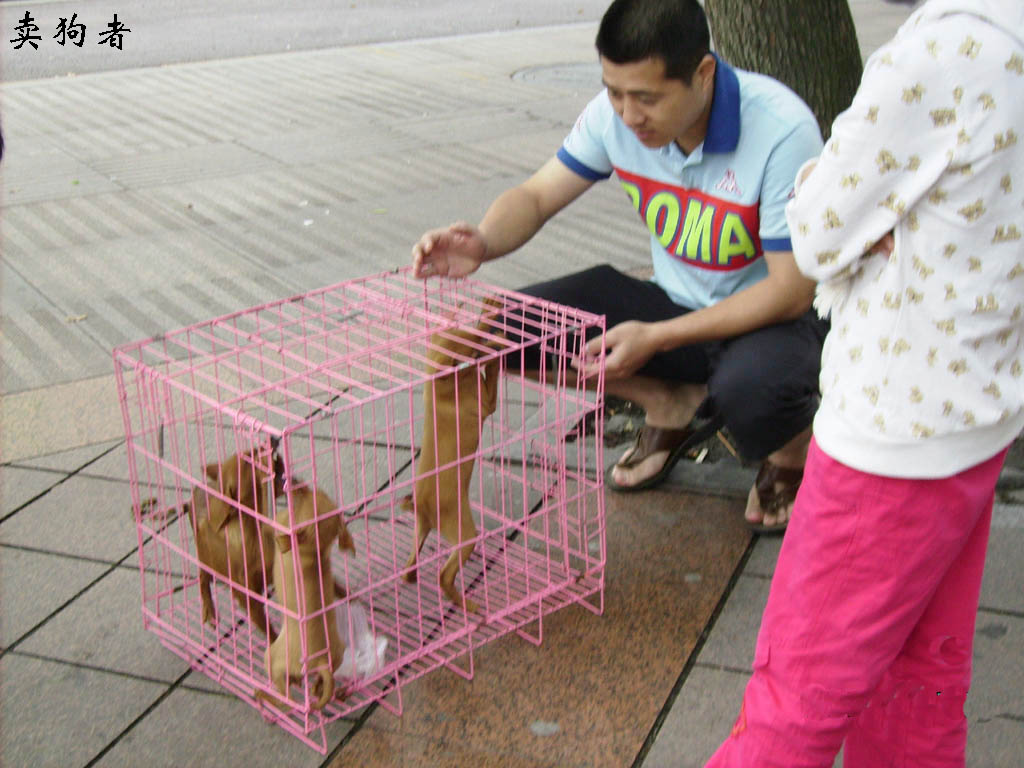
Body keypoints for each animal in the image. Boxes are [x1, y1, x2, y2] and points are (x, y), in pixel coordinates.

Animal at [260, 483, 356, 712]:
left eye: (306, 497)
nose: (299, 483)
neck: (314, 554)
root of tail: (319, 660)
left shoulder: (279, 524)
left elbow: (264, 519)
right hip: (336, 657)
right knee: (323, 682)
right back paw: (317, 689)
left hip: (273, 658)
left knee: (285, 696)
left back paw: (266, 695)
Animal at [403, 303, 507, 618]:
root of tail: (420, 505)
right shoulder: (486, 403)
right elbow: (488, 369)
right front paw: (493, 332)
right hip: (464, 533)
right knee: (443, 576)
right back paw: (468, 605)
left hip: (422, 530)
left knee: (410, 565)